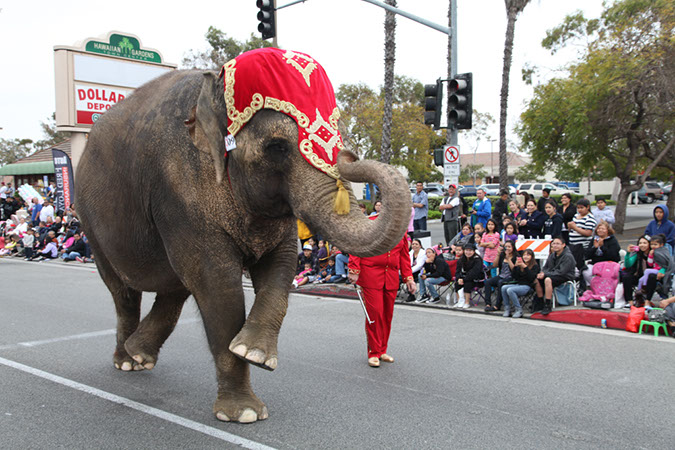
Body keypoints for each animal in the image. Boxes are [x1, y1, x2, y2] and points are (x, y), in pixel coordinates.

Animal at [74, 47, 412, 424]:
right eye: (277, 147)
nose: (350, 157)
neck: (216, 88)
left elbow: (281, 265)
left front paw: (256, 354)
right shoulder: (179, 191)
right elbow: (218, 287)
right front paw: (244, 413)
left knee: (174, 286)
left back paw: (139, 354)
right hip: (91, 222)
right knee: (125, 293)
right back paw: (127, 362)